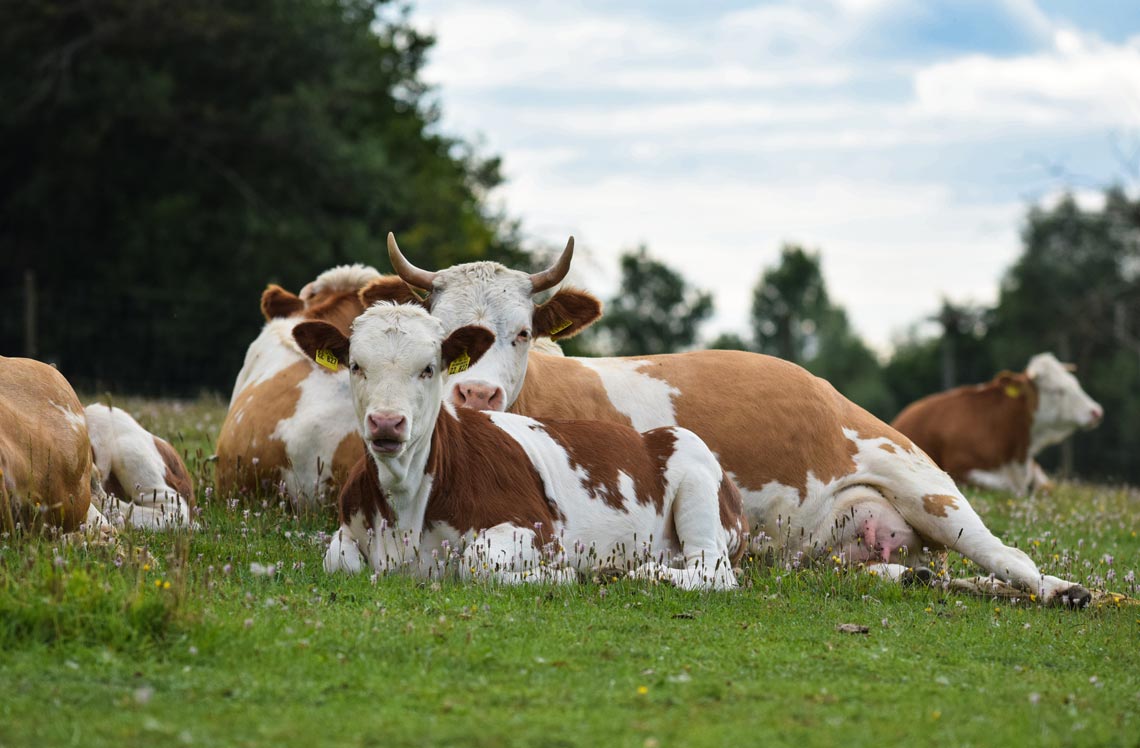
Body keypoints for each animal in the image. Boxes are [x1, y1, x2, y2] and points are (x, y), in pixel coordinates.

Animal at [289, 301, 743, 588]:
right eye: (355, 365)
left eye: (429, 368)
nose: (386, 422)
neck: (404, 507)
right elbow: (338, 559)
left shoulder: (538, 529)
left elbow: (475, 562)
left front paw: (562, 575)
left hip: (695, 474)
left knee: (713, 572)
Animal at [884, 355, 1098, 497]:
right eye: (1056, 391)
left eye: (1075, 383)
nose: (1096, 411)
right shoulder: (960, 470)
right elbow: (1008, 487)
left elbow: (1045, 487)